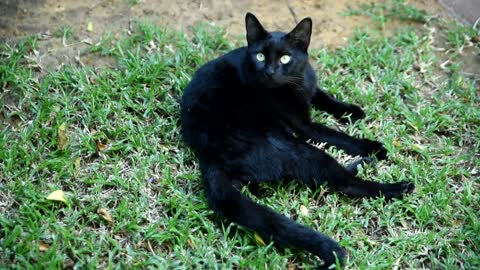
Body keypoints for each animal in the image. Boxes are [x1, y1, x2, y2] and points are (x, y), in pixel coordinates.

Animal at [180, 13, 412, 270]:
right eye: (260, 56)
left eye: (285, 58)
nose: (270, 71)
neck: (295, 83)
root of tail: (209, 156)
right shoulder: (304, 126)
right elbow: (338, 136)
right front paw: (373, 146)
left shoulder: (309, 86)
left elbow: (323, 95)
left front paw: (351, 111)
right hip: (296, 147)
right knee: (342, 181)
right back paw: (396, 185)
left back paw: (365, 163)